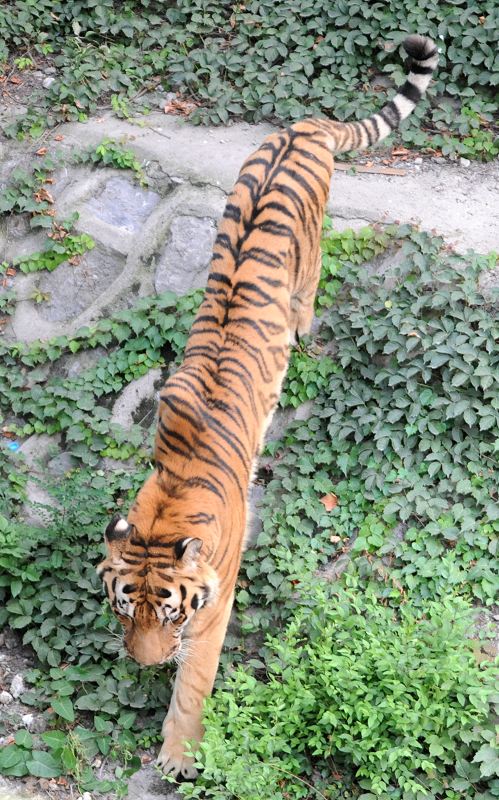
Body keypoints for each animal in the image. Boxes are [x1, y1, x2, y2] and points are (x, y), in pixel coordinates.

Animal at [97, 34, 438, 780]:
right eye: (125, 610)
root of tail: (302, 125)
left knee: (309, 290)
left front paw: (178, 754)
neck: (165, 507)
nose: (143, 664)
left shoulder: (216, 599)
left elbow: (195, 682)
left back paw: (302, 331)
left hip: (309, 258)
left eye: (170, 614)